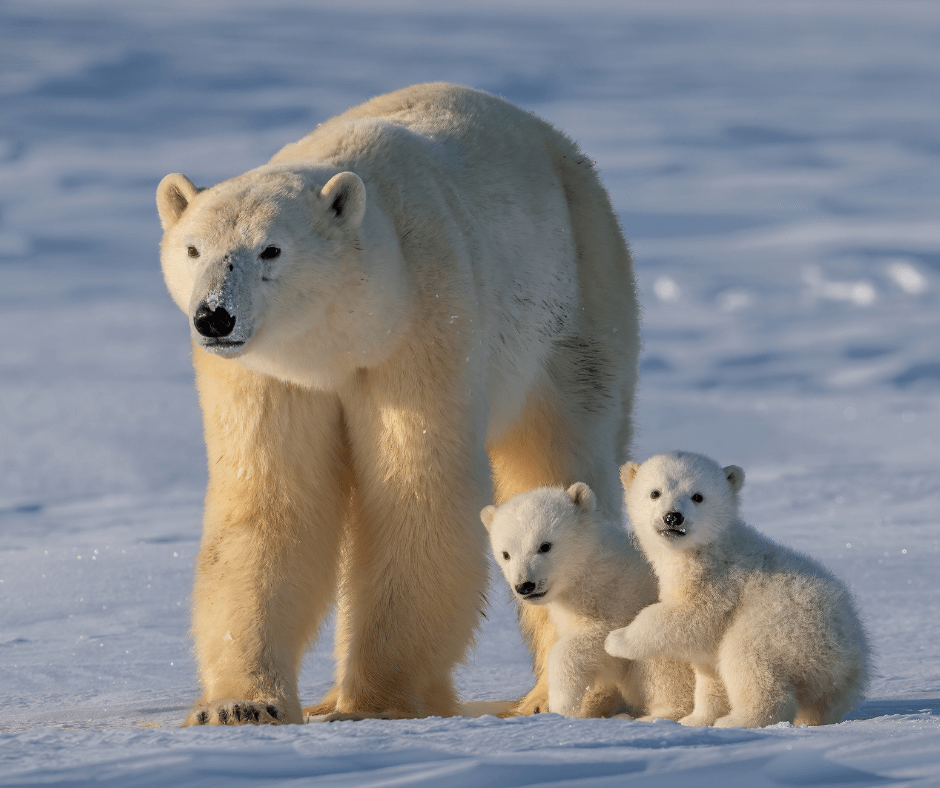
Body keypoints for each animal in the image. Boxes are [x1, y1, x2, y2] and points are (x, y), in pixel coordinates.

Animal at [155, 82, 640, 725]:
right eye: (192, 249)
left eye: (271, 250)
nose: (214, 316)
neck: (343, 339)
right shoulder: (269, 375)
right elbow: (270, 502)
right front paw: (240, 705)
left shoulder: (423, 325)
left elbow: (416, 493)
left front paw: (376, 703)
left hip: (577, 302)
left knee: (559, 452)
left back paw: (557, 696)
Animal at [481, 484, 693, 720]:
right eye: (506, 554)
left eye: (545, 546)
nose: (525, 585)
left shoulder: (623, 596)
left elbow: (602, 642)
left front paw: (562, 702)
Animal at [605, 451, 871, 728]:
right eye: (655, 492)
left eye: (697, 496)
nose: (673, 517)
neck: (705, 549)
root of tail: (850, 659)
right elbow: (709, 671)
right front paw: (695, 719)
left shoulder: (719, 583)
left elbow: (689, 618)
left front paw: (617, 639)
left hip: (783, 628)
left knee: (746, 659)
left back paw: (738, 720)